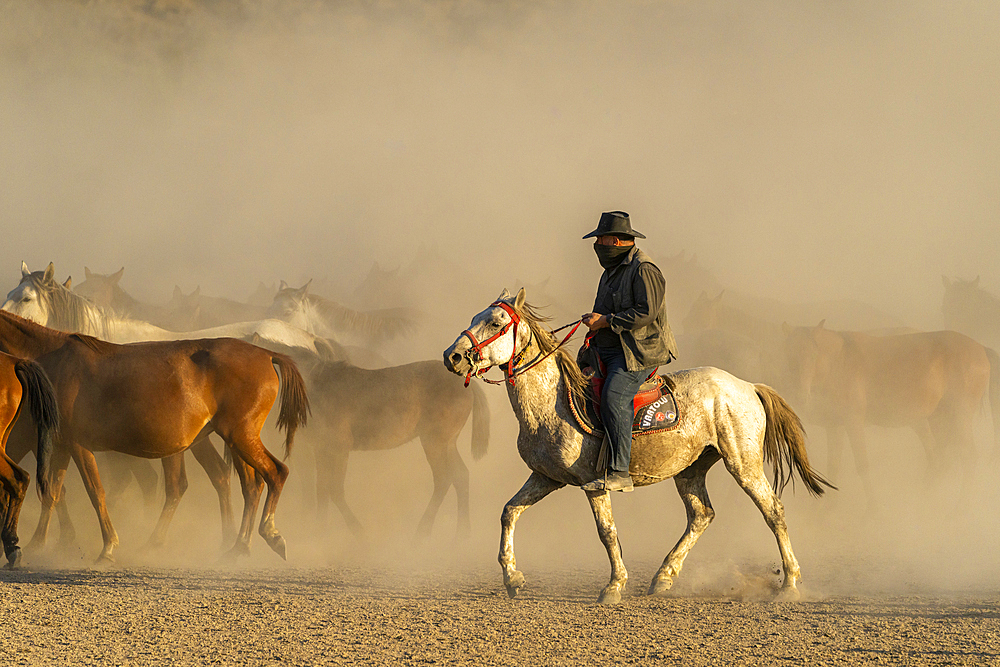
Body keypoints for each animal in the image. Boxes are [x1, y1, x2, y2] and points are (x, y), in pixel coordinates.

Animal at [306, 360, 490, 536]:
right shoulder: (320, 448)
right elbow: (321, 489)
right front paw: (318, 532)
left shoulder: (339, 447)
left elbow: (334, 490)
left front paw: (358, 532)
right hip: (448, 443)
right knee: (461, 475)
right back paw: (462, 533)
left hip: (434, 441)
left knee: (443, 479)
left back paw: (422, 532)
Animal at [442, 288, 832, 604]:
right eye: (476, 318)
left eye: (495, 322)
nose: (452, 356)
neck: (553, 404)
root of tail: (748, 385)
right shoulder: (545, 477)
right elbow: (509, 512)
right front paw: (512, 578)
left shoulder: (594, 483)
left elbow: (607, 532)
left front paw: (614, 586)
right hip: (690, 469)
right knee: (701, 515)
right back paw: (663, 578)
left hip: (744, 464)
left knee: (773, 511)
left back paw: (789, 584)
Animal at [784, 320, 996, 498]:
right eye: (790, 356)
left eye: (813, 356)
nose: (801, 395)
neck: (840, 361)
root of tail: (981, 350)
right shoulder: (835, 426)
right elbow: (833, 468)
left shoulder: (853, 423)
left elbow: (863, 465)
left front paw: (873, 510)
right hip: (939, 420)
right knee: (940, 459)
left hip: (958, 418)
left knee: (967, 458)